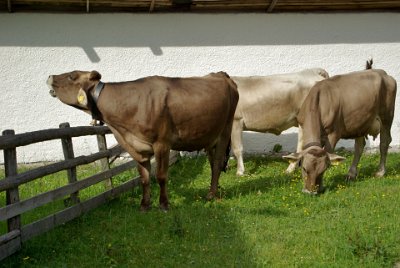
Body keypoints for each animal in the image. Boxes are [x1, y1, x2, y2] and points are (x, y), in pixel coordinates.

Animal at [48, 70, 239, 210]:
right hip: (209, 136)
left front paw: (164, 204)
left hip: (225, 130)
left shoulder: (162, 143)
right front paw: (145, 205)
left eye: (72, 76)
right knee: (213, 162)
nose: (50, 77)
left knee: (217, 163)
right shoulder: (136, 147)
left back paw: (211, 194)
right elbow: (144, 178)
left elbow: (160, 176)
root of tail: (221, 74)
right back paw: (215, 189)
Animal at [284, 60, 396, 194]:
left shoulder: (333, 133)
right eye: (305, 169)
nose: (310, 191)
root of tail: (382, 72)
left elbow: (329, 151)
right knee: (359, 146)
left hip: (387, 116)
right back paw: (351, 174)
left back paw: (380, 172)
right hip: (360, 121)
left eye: (323, 171)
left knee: (384, 142)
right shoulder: (302, 125)